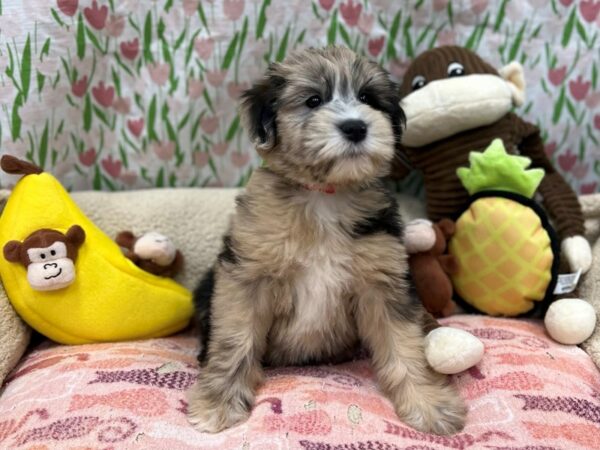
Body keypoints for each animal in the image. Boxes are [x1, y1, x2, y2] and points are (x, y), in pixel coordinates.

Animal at [188, 46, 464, 436]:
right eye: (313, 100)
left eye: (367, 99)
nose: (356, 126)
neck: (325, 196)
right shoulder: (247, 276)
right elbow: (234, 339)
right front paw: (218, 403)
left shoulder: (382, 280)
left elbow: (404, 343)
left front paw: (428, 403)